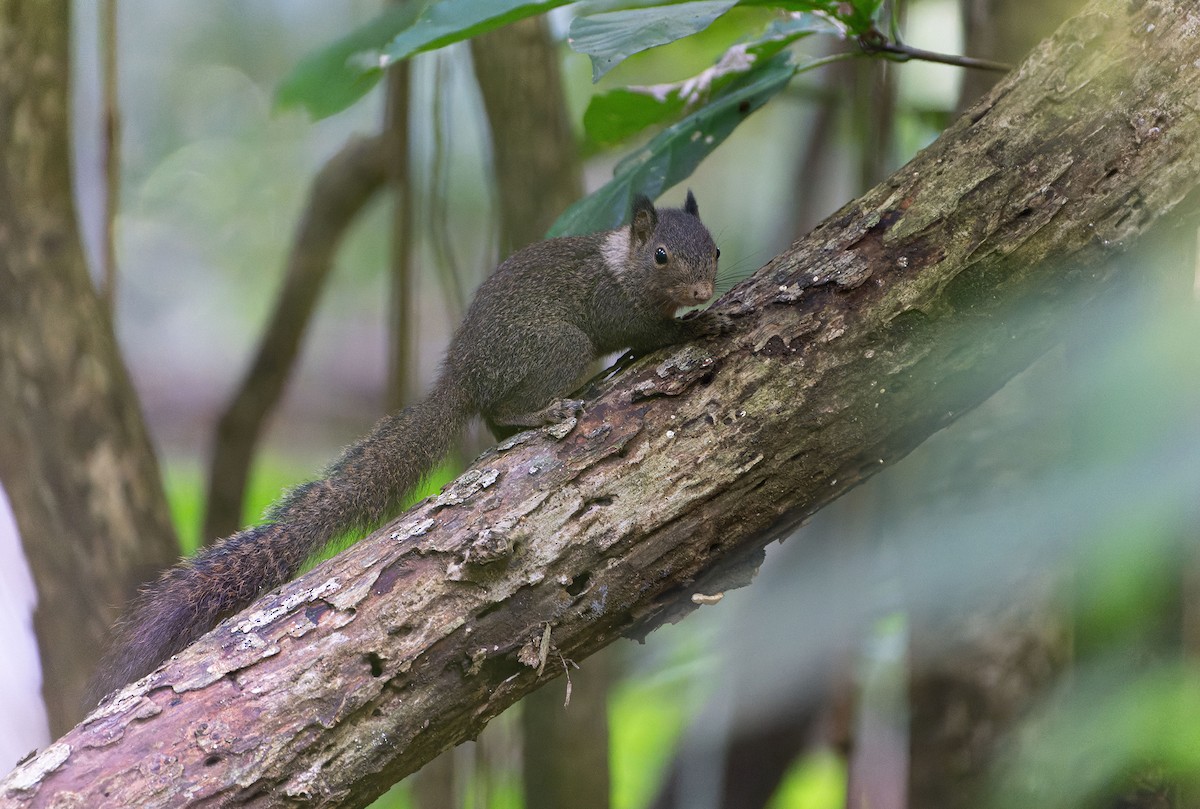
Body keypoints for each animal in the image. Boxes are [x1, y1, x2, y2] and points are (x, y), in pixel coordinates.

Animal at [88, 191, 724, 705]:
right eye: (661, 255)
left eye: (715, 249)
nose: (702, 290)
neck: (622, 265)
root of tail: (465, 376)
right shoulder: (614, 307)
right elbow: (645, 333)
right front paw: (693, 325)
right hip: (559, 348)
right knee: (503, 412)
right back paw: (544, 411)